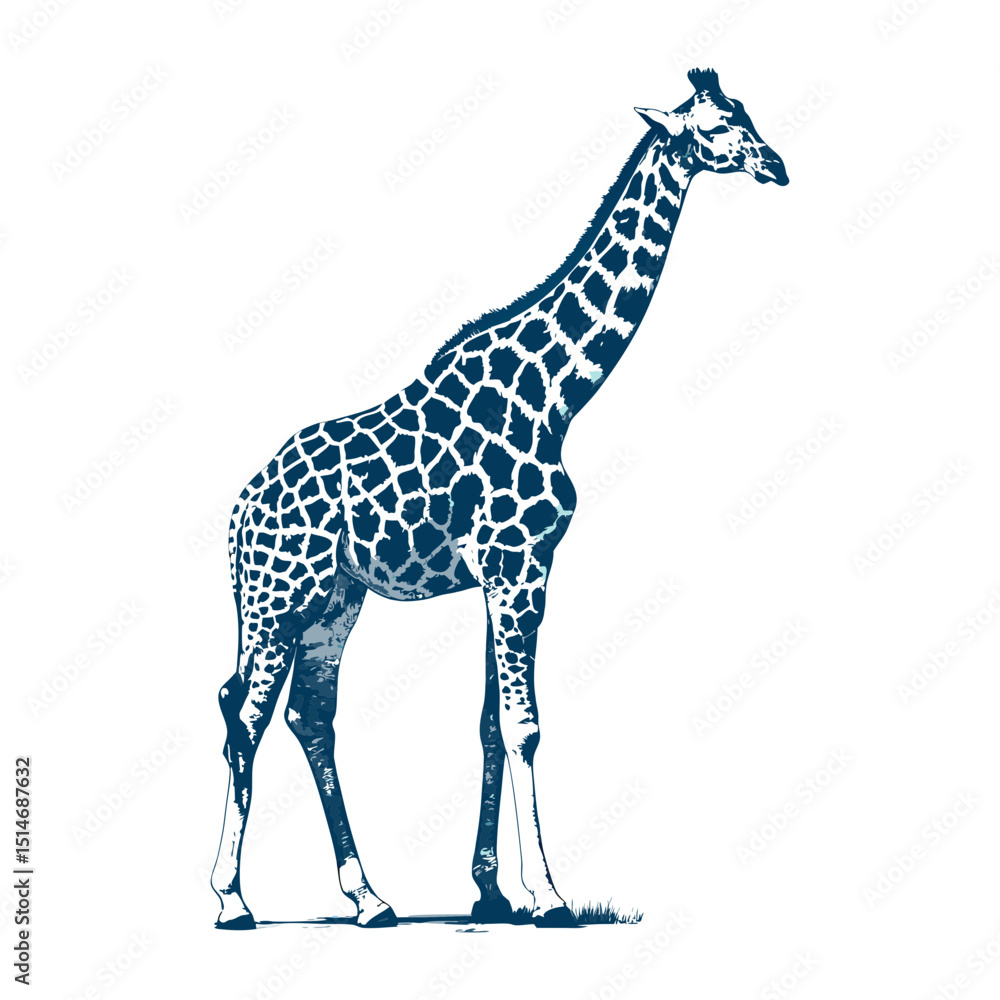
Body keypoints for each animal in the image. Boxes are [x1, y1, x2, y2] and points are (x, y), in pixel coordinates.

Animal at [211, 68, 788, 930]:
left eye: (745, 112)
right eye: (717, 127)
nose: (777, 166)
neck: (557, 392)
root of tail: (238, 512)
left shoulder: (506, 569)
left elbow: (489, 726)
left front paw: (492, 891)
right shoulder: (518, 565)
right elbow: (523, 727)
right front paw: (549, 895)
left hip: (335, 599)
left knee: (306, 716)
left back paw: (369, 897)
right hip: (279, 595)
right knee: (242, 714)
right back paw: (231, 899)